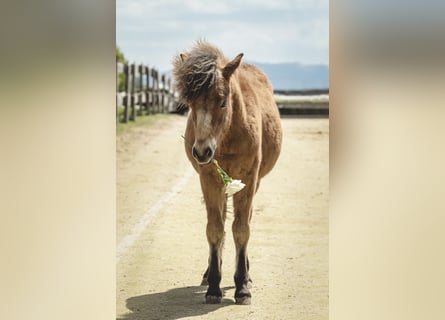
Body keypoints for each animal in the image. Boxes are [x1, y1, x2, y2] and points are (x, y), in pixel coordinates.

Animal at [173, 40, 280, 304]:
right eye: (191, 104)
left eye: (222, 100)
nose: (202, 152)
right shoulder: (209, 180)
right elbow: (215, 229)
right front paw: (213, 285)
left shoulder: (248, 180)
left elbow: (241, 229)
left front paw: (242, 286)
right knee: (220, 222)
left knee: (245, 220)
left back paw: (246, 274)